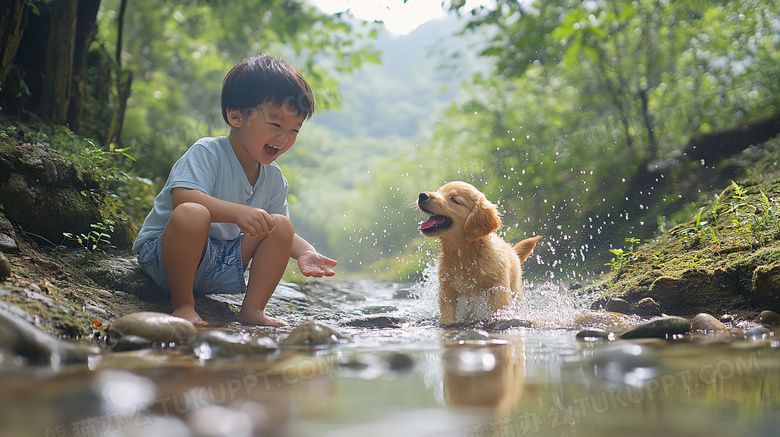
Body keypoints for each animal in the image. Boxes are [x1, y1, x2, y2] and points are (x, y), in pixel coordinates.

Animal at [418, 179, 540, 326]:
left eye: (453, 199)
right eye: (439, 191)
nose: (422, 195)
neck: (465, 253)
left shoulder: (498, 285)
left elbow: (499, 307)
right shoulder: (447, 287)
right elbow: (447, 313)